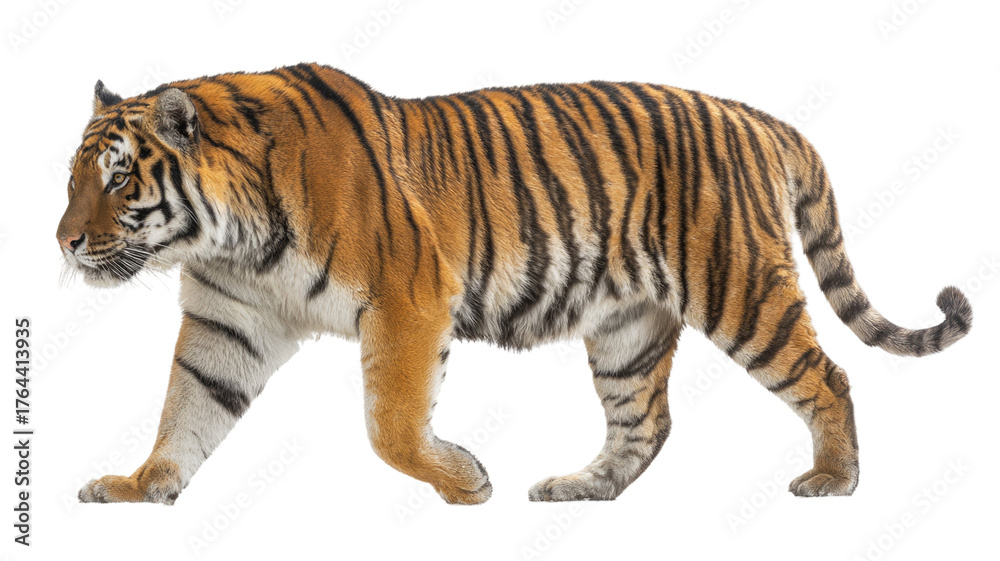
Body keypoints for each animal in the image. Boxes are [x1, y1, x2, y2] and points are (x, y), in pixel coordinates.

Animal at [57, 63, 972, 505]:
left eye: (116, 177)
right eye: (72, 178)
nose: (62, 243)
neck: (230, 239)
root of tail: (759, 118)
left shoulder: (408, 300)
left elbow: (390, 425)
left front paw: (465, 482)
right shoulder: (230, 321)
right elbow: (187, 407)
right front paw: (142, 487)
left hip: (741, 286)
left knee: (829, 374)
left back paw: (834, 480)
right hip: (628, 327)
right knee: (646, 422)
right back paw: (580, 489)